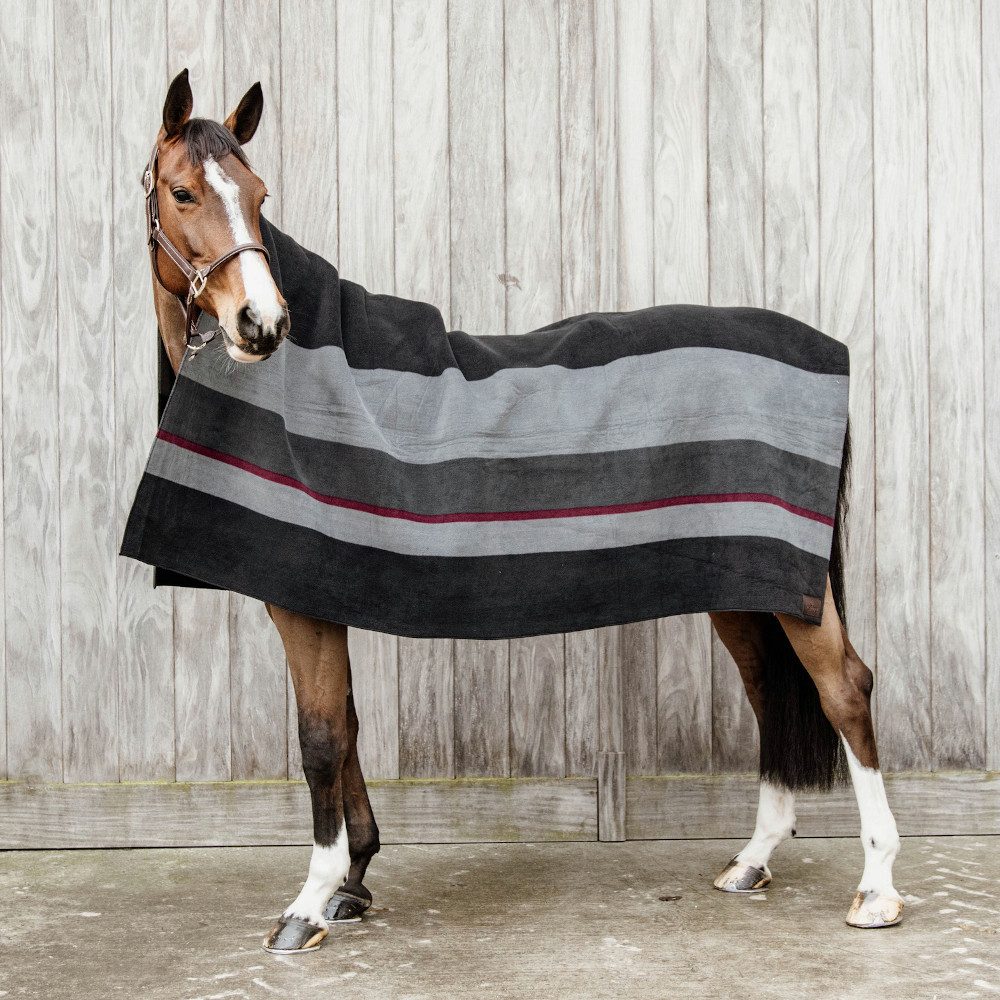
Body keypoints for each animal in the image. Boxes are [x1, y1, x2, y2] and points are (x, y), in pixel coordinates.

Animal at [140, 69, 903, 954]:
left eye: (260, 196)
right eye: (184, 192)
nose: (263, 324)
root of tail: (825, 351)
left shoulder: (303, 602)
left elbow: (320, 739)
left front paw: (310, 902)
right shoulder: (322, 593)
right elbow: (350, 726)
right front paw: (355, 881)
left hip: (790, 593)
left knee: (844, 688)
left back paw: (878, 887)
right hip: (743, 589)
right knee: (768, 694)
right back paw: (752, 860)